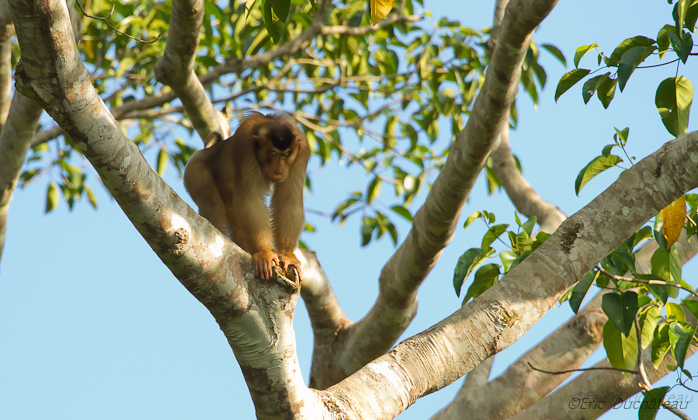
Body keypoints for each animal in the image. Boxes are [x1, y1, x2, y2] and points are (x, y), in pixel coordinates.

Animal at [184, 113, 308, 280]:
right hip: (194, 170)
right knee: (211, 204)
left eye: (286, 155)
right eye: (273, 153)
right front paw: (263, 253)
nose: (279, 171)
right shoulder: (244, 143)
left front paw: (287, 255)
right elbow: (250, 198)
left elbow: (289, 200)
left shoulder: (302, 151)